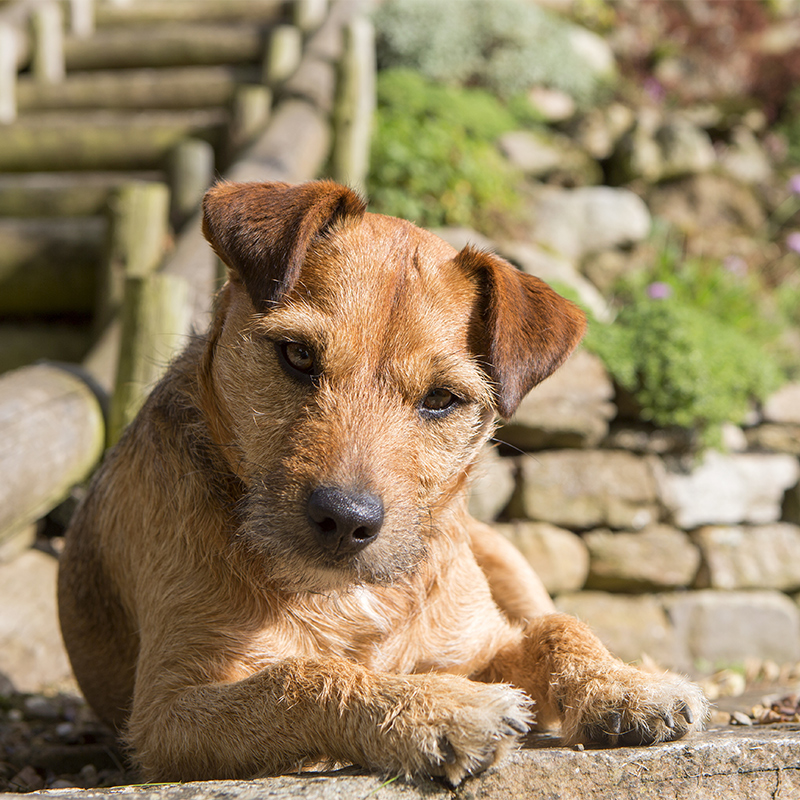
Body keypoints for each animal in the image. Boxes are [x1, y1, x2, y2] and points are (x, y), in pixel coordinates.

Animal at [57, 180, 708, 780]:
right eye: (297, 355)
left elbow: (556, 630)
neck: (350, 594)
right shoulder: (170, 712)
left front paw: (623, 687)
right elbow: (299, 676)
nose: (346, 519)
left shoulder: (483, 647)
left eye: (442, 399)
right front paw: (439, 708)